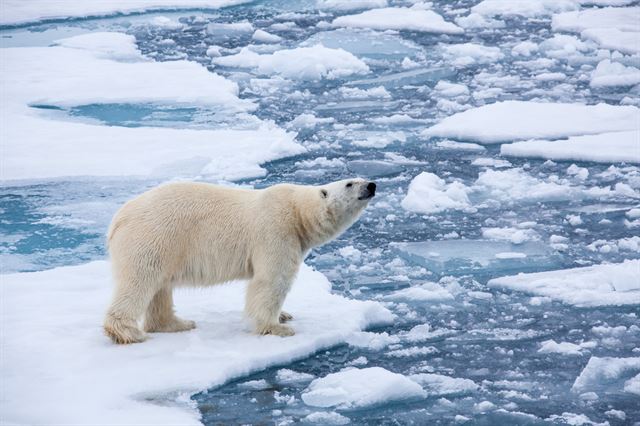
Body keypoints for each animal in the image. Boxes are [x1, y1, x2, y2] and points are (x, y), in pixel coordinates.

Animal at [104, 178, 376, 344]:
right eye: (350, 183)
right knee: (141, 280)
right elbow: (272, 281)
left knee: (160, 287)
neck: (298, 212)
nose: (372, 185)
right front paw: (277, 327)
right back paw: (128, 332)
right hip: (154, 236)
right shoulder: (276, 230)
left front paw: (284, 315)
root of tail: (118, 218)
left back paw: (176, 323)